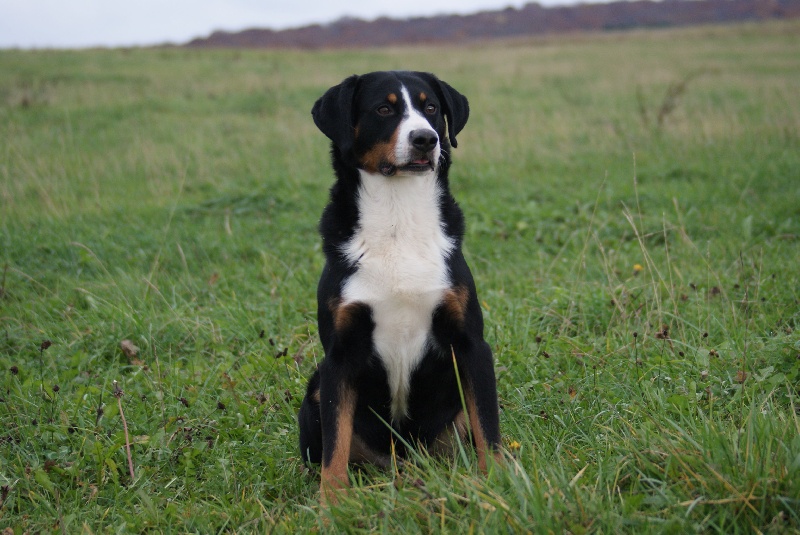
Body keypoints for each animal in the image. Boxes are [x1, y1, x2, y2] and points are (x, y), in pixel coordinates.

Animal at [298, 71, 501, 502]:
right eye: (383, 109)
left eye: (431, 107)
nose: (426, 139)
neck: (398, 217)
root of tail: (403, 462)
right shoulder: (339, 356)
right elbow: (334, 449)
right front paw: (332, 505)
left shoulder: (471, 344)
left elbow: (488, 428)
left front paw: (500, 483)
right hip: (315, 390)